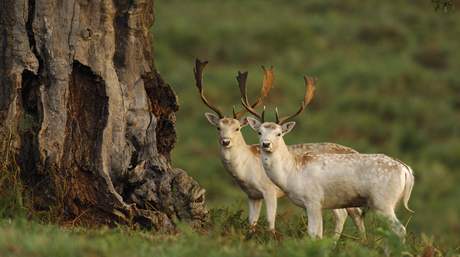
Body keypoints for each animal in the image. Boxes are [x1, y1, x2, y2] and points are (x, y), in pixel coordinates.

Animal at [194, 58, 366, 238]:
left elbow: (271, 221)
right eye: (218, 128)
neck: (246, 170)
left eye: (237, 128)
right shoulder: (252, 196)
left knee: (346, 213)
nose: (225, 141)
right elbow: (251, 223)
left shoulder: (269, 191)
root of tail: (355, 151)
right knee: (353, 213)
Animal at [243, 74, 416, 238]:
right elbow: (318, 234)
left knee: (400, 230)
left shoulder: (313, 200)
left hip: (383, 201)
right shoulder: (318, 205)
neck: (292, 173)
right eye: (259, 132)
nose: (266, 144)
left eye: (279, 134)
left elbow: (313, 234)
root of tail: (405, 170)